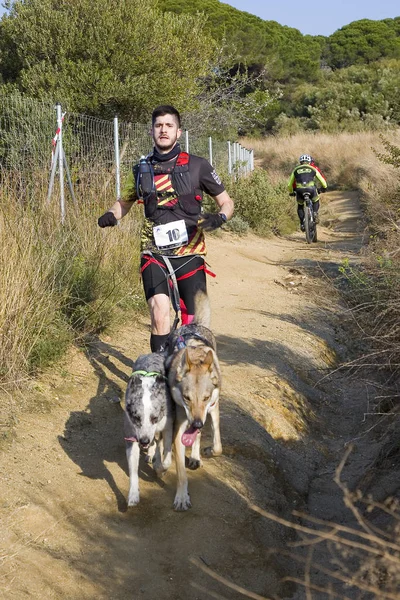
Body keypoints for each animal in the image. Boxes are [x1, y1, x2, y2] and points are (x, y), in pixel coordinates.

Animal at [123, 352, 173, 506]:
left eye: (154, 418)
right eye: (136, 417)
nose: (143, 440)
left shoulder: (168, 427)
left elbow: (166, 460)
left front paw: (160, 469)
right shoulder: (132, 434)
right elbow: (133, 469)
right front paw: (133, 494)